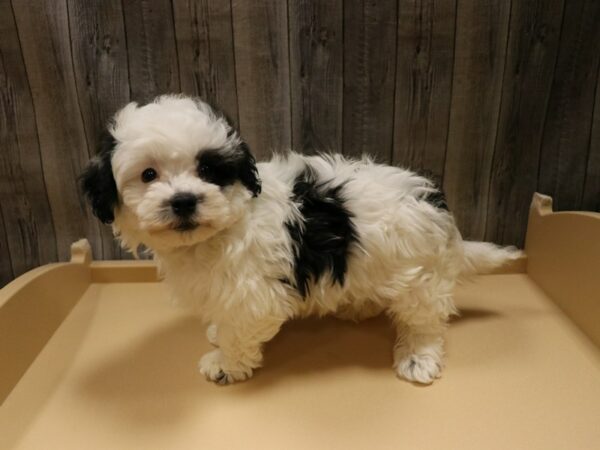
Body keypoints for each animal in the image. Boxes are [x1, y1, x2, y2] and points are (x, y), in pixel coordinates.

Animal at [81, 94, 520, 384]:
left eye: (208, 170)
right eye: (148, 175)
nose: (184, 200)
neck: (228, 222)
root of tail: (434, 200)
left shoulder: (254, 296)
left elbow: (241, 330)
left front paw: (225, 363)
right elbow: (226, 318)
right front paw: (217, 333)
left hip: (420, 274)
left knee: (425, 321)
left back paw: (418, 356)